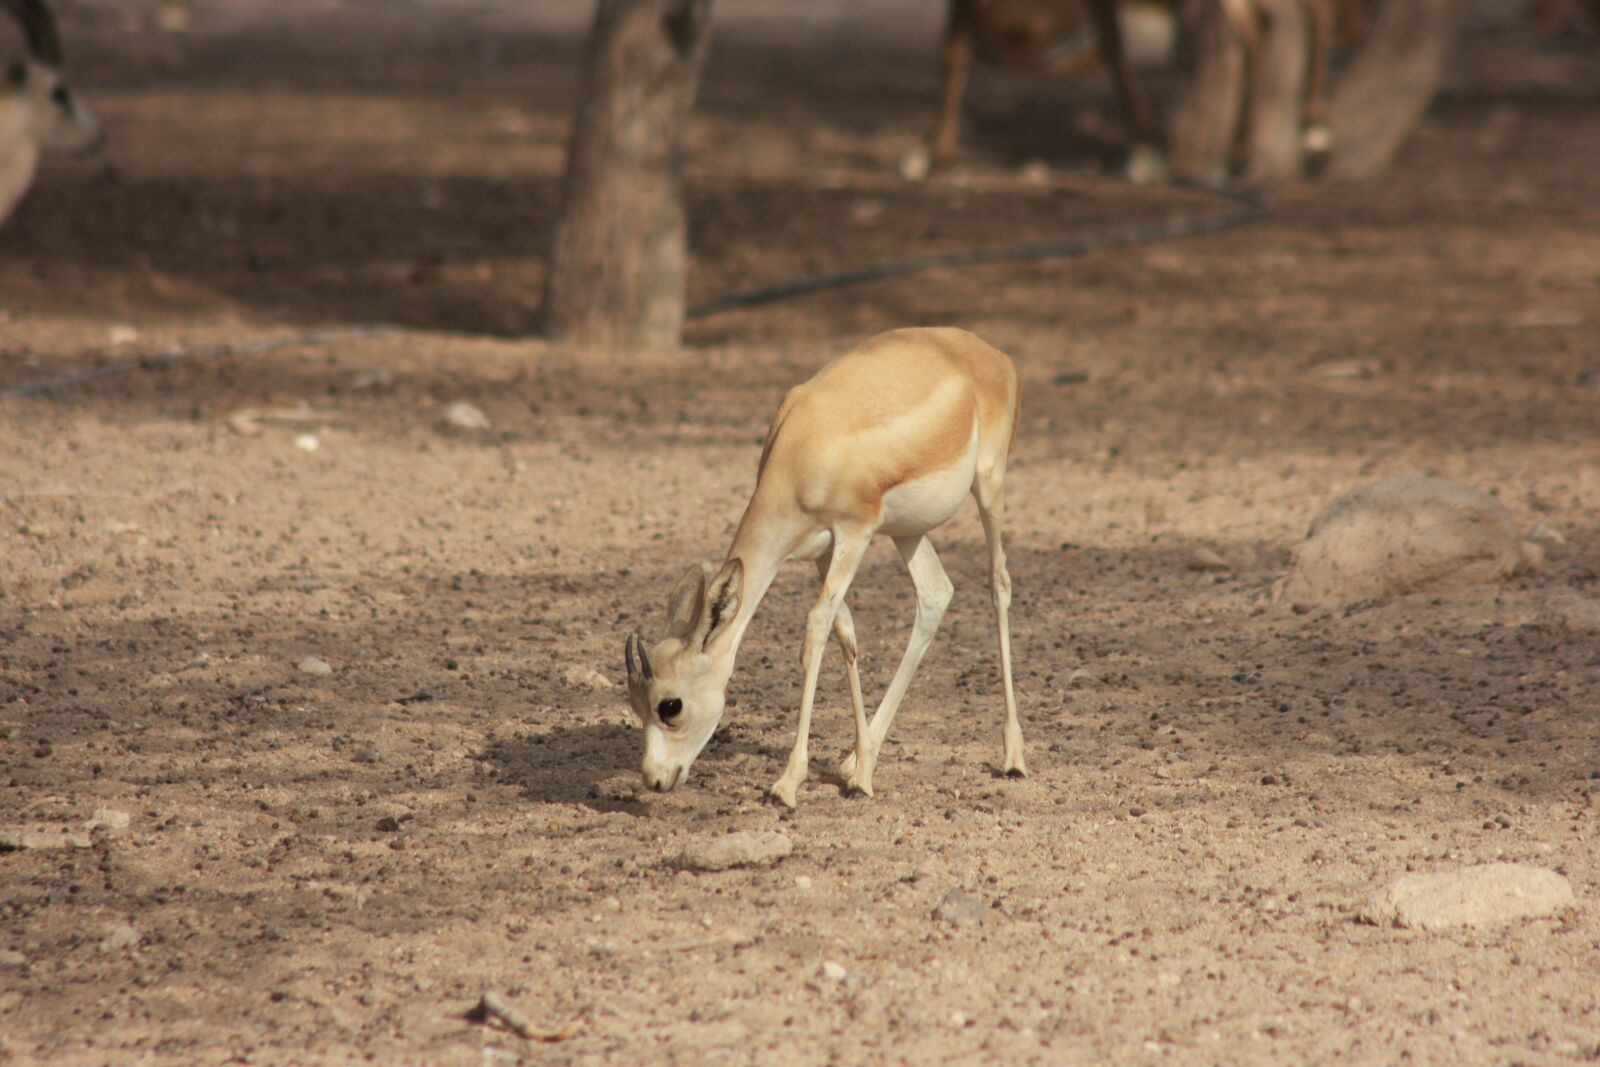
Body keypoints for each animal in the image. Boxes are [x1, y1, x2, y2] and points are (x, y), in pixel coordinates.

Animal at [623, 328, 1025, 809]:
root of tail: (989, 353)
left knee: (999, 585)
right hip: (907, 532)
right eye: (635, 704)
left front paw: (787, 784)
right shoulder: (820, 549)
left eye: (670, 705)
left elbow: (815, 628)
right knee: (935, 594)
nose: (654, 779)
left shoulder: (855, 533)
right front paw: (861, 768)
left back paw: (1014, 757)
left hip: (989, 488)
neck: (805, 445)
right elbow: (843, 631)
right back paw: (855, 761)